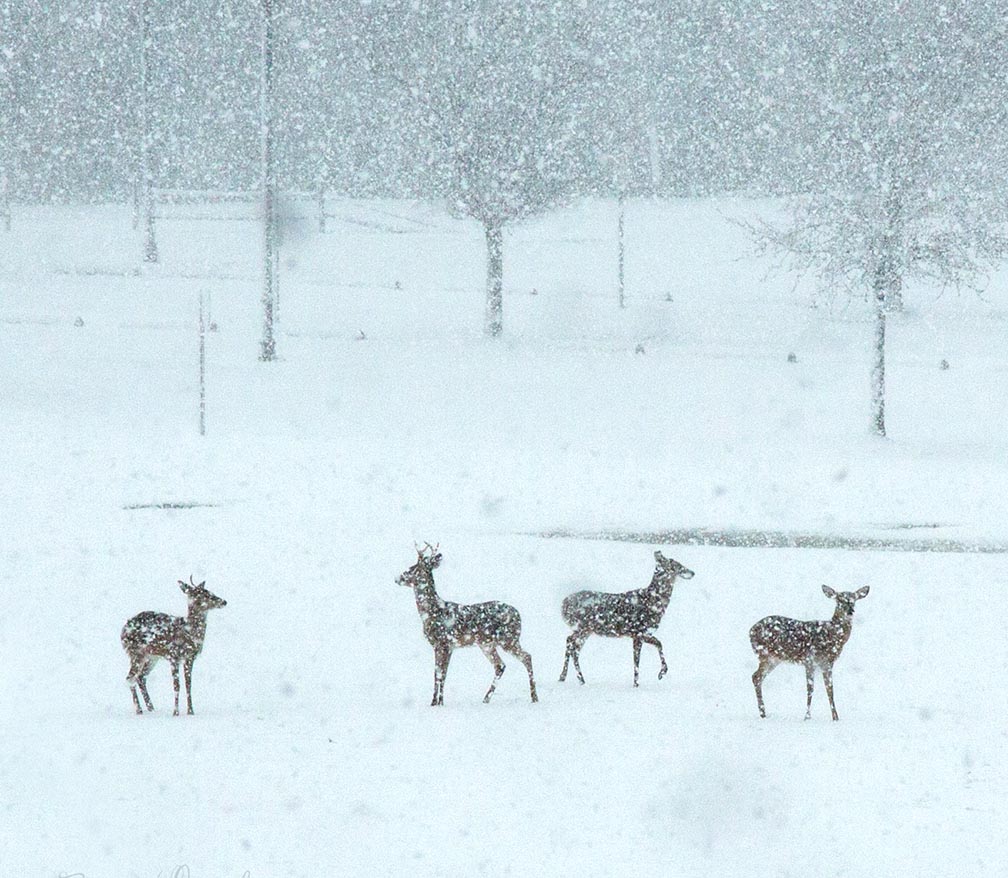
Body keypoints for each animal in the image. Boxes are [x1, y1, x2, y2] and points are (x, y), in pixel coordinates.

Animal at [121, 576, 226, 713]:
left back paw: (151, 709)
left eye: (209, 592)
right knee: (130, 678)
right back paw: (139, 710)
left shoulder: (189, 657)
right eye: (201, 594)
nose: (224, 601)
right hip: (136, 652)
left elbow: (188, 684)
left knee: (141, 677)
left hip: (152, 657)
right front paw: (175, 712)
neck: (189, 632)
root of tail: (123, 631)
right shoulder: (173, 655)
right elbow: (177, 686)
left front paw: (190, 711)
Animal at [393, 544, 540, 705]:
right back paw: (486, 699)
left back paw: (534, 697)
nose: (397, 578)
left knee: (527, 657)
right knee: (500, 665)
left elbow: (440, 674)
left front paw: (437, 703)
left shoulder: (444, 643)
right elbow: (439, 674)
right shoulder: (443, 646)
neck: (432, 613)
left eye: (413, 568)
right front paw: (436, 702)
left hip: (508, 639)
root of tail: (518, 614)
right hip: (487, 644)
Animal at [560, 552, 693, 689]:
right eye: (676, 565)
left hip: (586, 630)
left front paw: (651, 677)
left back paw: (569, 678)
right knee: (571, 643)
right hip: (584, 626)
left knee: (572, 645)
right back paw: (577, 678)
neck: (652, 603)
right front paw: (647, 680)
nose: (692, 572)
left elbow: (650, 650)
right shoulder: (638, 631)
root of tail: (564, 604)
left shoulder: (640, 634)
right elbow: (642, 657)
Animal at [753, 584, 870, 721]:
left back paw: (763, 713)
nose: (850, 611)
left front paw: (835, 718)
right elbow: (810, 688)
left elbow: (830, 689)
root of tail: (750, 631)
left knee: (757, 677)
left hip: (774, 659)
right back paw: (763, 713)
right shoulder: (810, 659)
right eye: (839, 600)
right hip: (765, 654)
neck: (831, 635)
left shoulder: (827, 663)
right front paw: (807, 717)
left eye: (854, 600)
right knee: (756, 677)